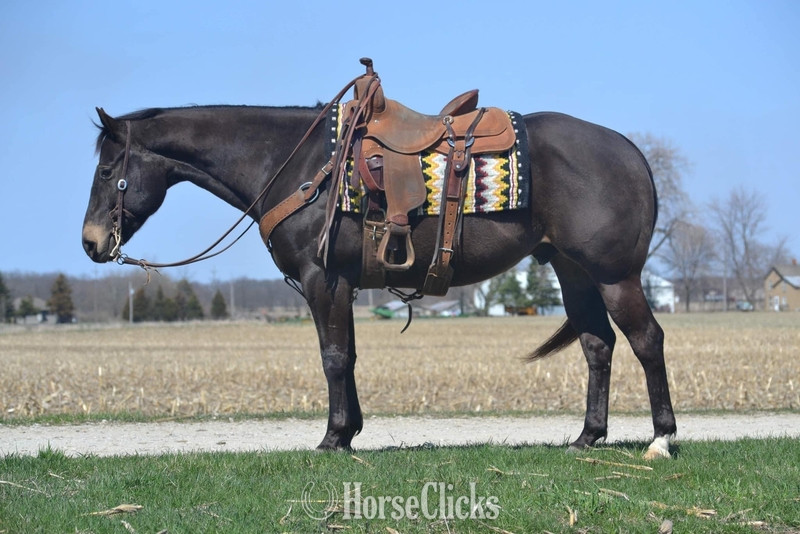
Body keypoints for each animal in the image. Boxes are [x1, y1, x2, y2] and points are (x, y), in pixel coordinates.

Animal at [82, 95, 677, 460]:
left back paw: (662, 439)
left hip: (616, 276)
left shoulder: (322, 280)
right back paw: (587, 437)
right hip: (574, 274)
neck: (298, 169)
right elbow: (347, 355)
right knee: (598, 345)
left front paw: (332, 437)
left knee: (647, 341)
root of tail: (629, 151)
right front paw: (350, 432)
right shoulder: (342, 286)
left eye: (108, 172)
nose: (90, 242)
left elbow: (332, 357)